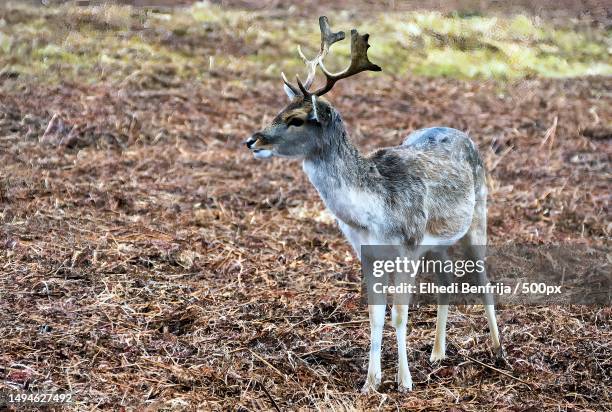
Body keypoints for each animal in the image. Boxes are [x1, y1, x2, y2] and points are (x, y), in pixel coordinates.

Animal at [244, 16, 502, 394]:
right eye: (280, 111)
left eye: (297, 119)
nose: (252, 140)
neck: (374, 213)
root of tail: (463, 134)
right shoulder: (366, 251)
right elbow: (375, 314)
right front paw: (371, 382)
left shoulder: (407, 245)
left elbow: (399, 314)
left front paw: (404, 382)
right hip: (436, 242)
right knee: (446, 280)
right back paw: (437, 353)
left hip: (478, 214)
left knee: (482, 278)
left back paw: (498, 350)